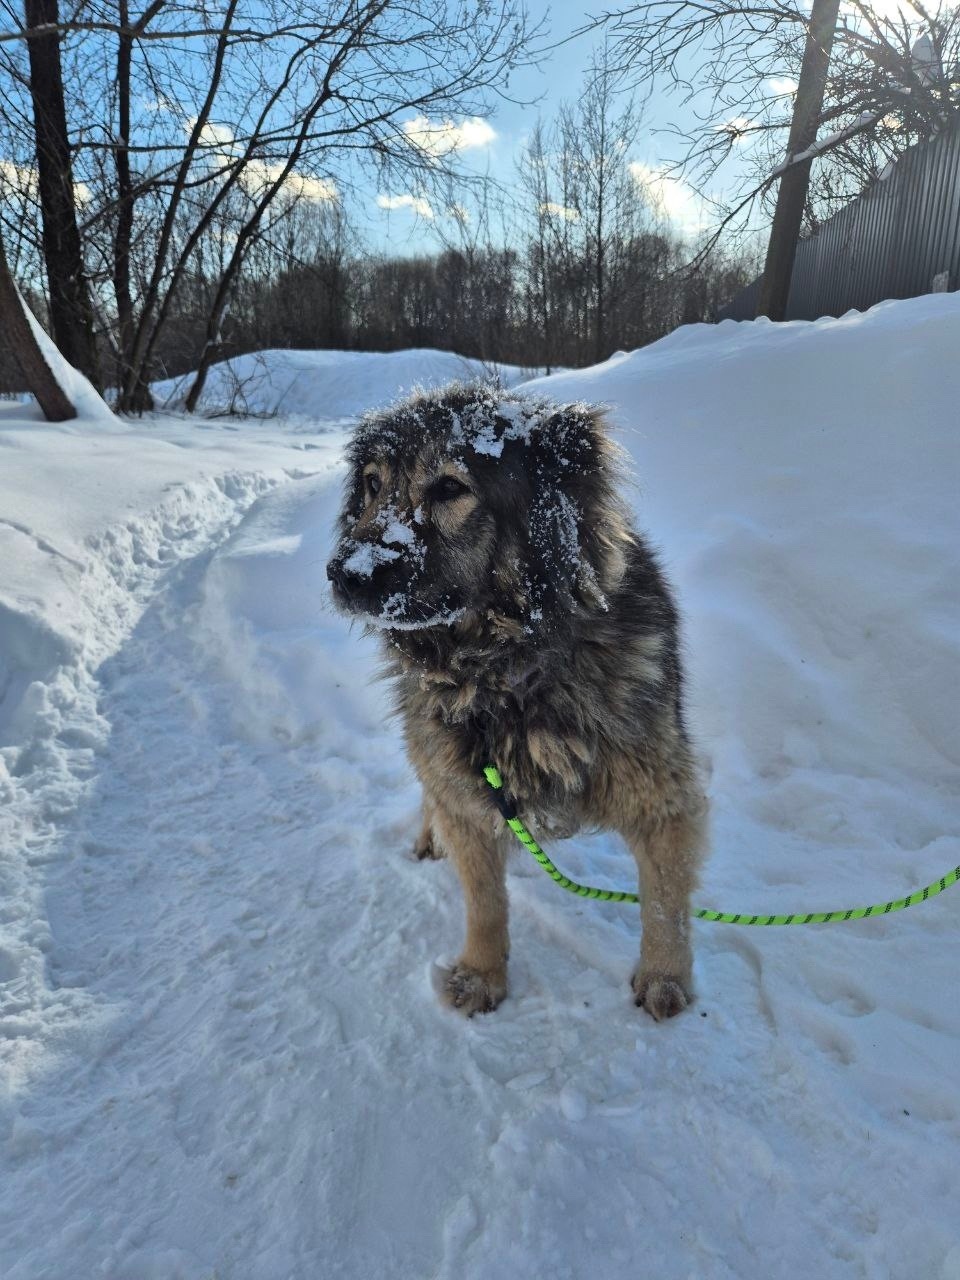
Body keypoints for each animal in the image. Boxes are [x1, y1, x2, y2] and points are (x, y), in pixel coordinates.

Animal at [327, 383, 707, 1020]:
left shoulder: (660, 793)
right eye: (373, 485)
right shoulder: (468, 793)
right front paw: (482, 975)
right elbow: (484, 900)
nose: (343, 574)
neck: (503, 674)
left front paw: (664, 979)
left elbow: (664, 904)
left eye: (449, 488)